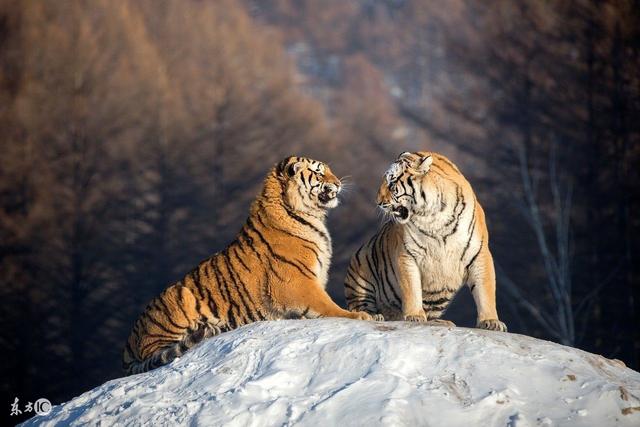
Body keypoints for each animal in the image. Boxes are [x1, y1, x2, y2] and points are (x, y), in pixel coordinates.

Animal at [124, 156, 376, 374]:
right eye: (318, 172)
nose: (338, 184)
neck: (307, 215)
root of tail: (128, 344)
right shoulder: (299, 282)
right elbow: (327, 305)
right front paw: (359, 316)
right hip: (179, 297)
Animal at [342, 152, 508, 332]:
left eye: (392, 183)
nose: (378, 202)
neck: (433, 216)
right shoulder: (406, 255)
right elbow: (411, 288)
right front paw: (414, 316)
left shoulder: (479, 254)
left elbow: (485, 290)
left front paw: (491, 321)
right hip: (361, 270)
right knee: (360, 307)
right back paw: (375, 316)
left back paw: (442, 322)